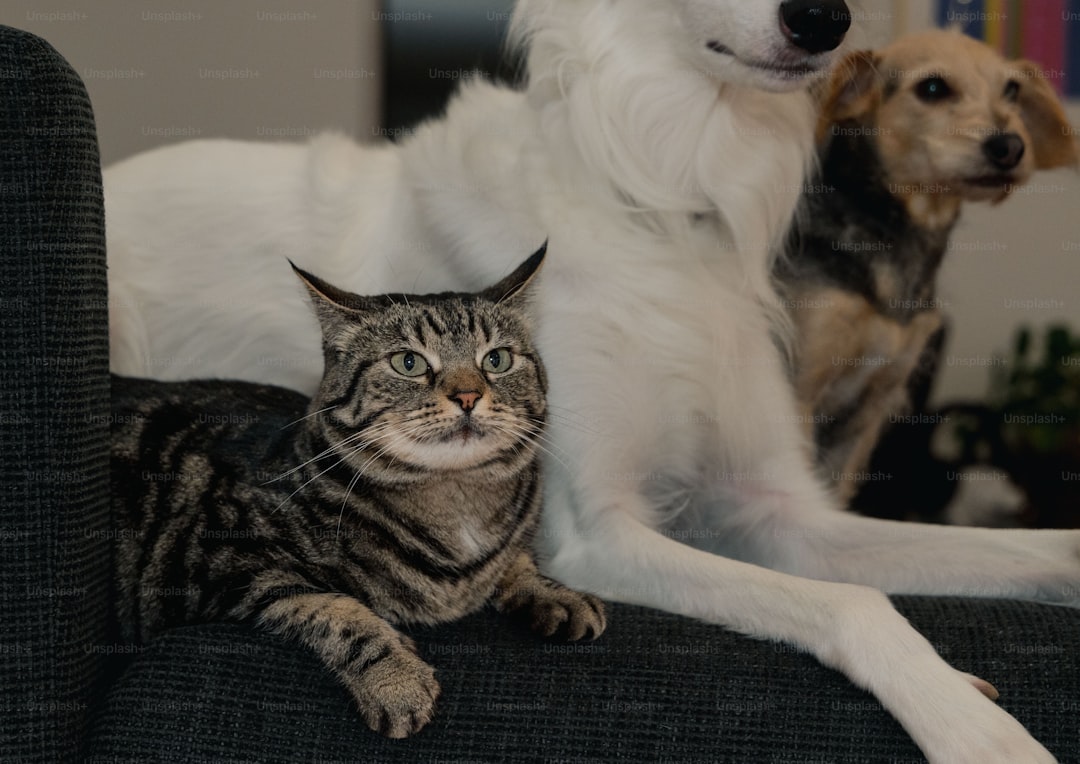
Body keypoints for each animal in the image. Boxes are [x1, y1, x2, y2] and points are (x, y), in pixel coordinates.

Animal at [112, 246, 604, 739]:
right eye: (409, 363)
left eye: (497, 360)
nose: (467, 395)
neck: (455, 504)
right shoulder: (220, 564)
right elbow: (338, 610)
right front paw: (397, 681)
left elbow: (515, 560)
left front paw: (557, 593)